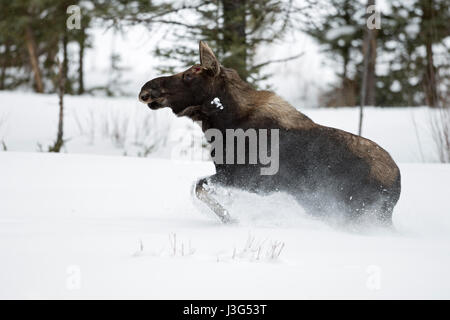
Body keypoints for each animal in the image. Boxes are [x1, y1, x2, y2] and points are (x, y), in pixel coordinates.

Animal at [141, 40, 400, 225]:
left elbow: (199, 186)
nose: (147, 88)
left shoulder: (251, 179)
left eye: (189, 74)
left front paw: (231, 218)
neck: (223, 123)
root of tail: (397, 183)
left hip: (355, 210)